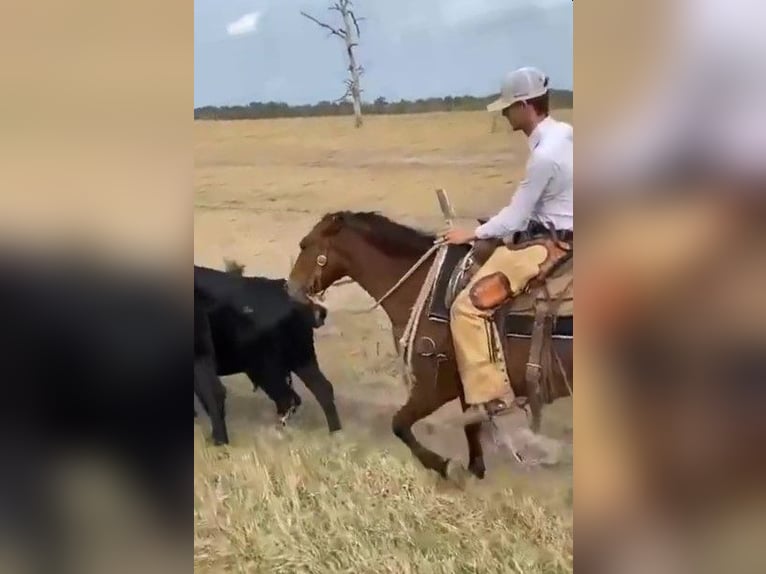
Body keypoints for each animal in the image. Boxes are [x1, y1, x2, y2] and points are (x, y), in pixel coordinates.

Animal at [284, 213, 572, 482]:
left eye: (305, 244)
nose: (290, 288)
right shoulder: (465, 386)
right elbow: (470, 428)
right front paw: (474, 469)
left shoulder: (433, 387)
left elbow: (399, 424)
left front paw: (443, 466)